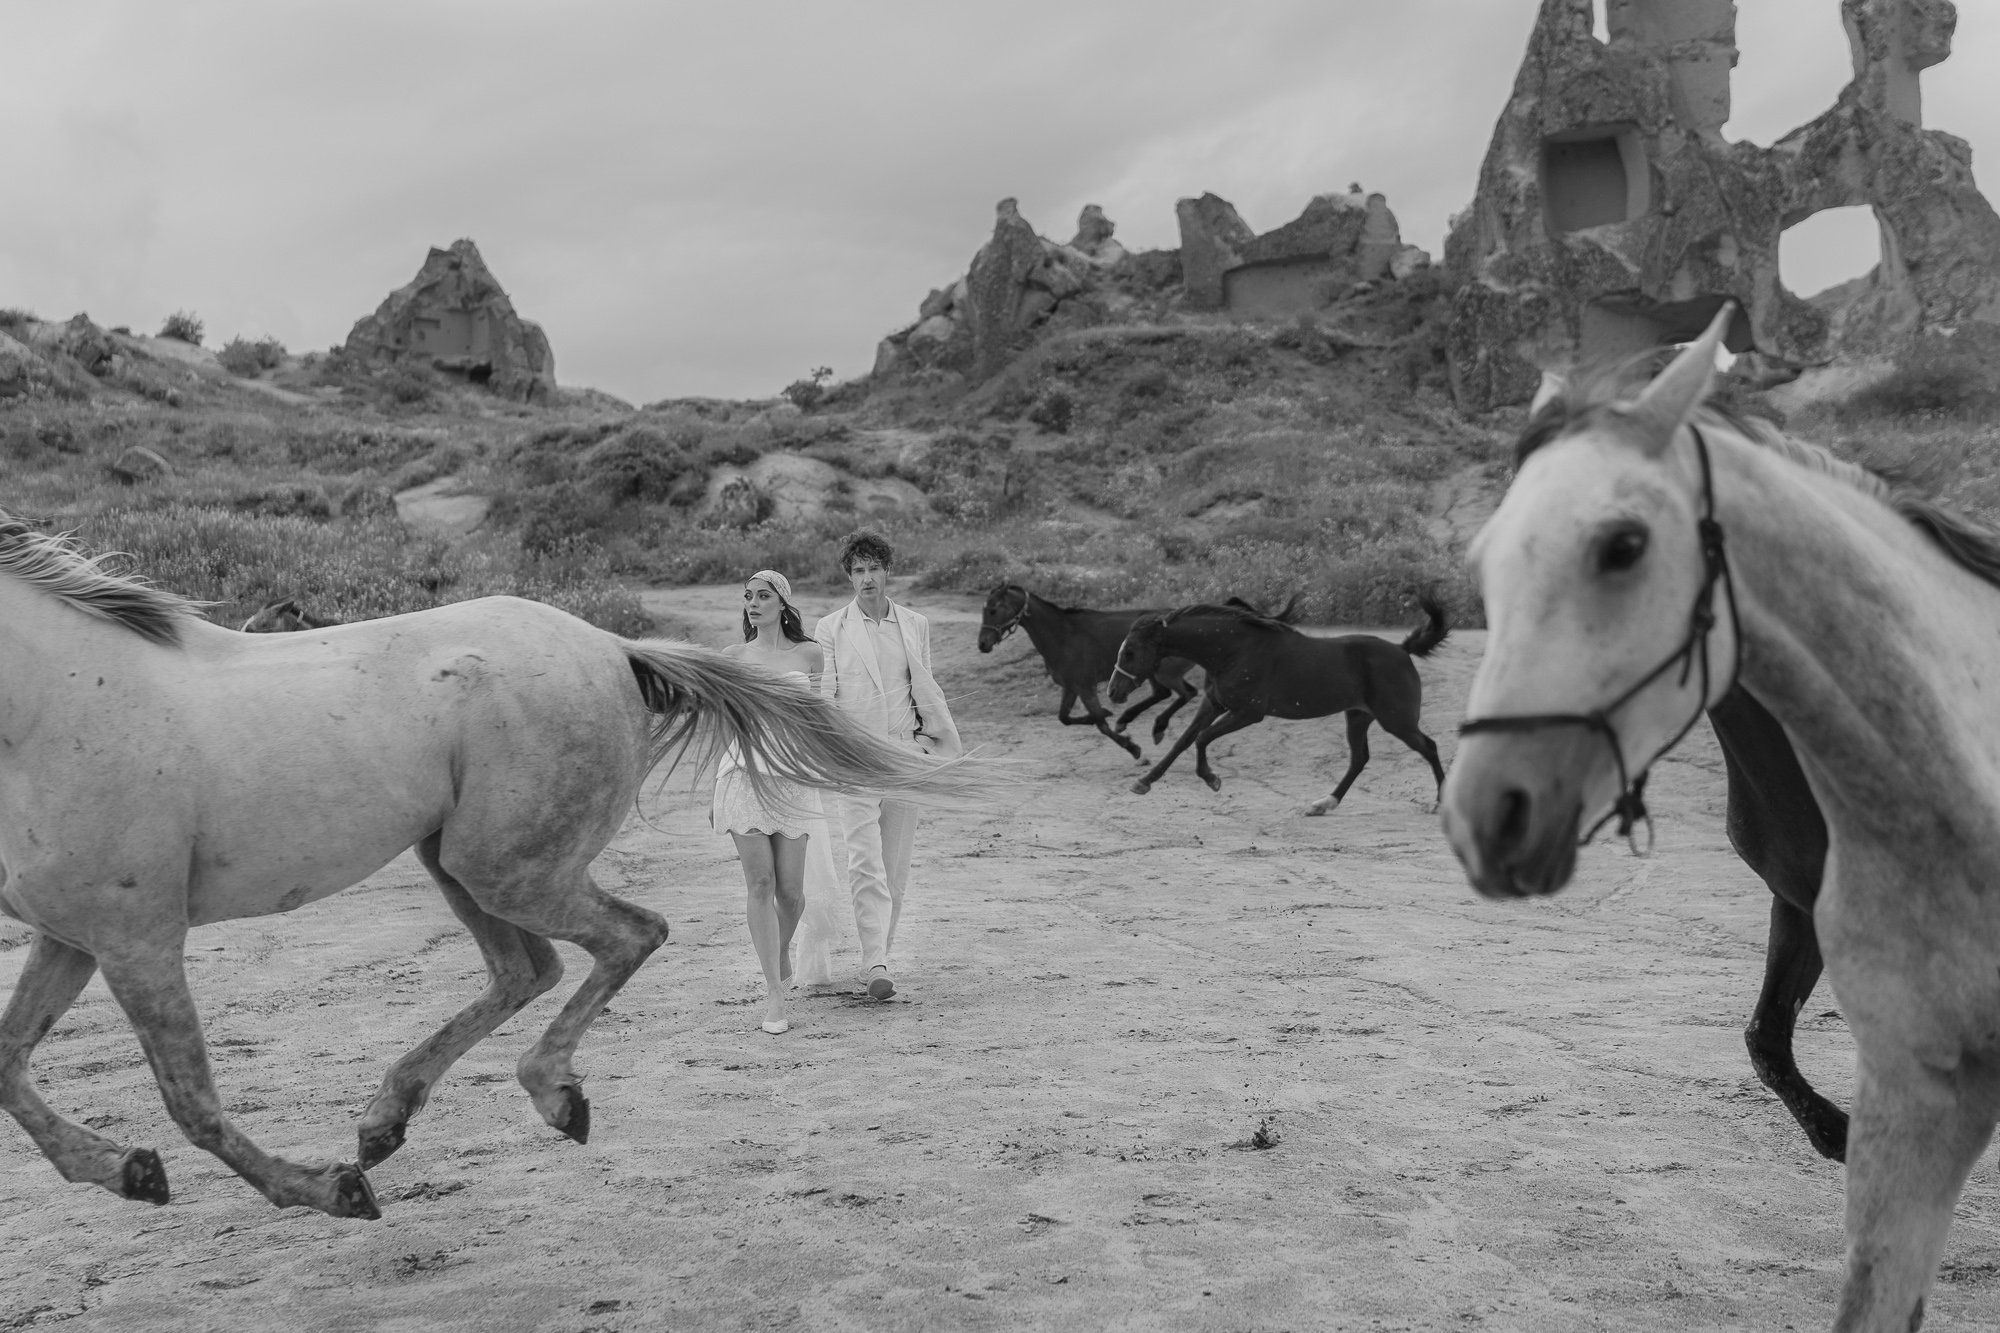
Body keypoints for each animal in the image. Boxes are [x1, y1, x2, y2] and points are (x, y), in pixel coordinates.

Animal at [0, 510, 997, 1220]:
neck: (57, 708)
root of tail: (614, 647)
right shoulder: (74, 935)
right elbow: (10, 1063)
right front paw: (125, 1168)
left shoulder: (137, 937)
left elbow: (190, 1099)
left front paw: (323, 1190)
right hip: (458, 859)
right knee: (531, 967)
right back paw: (389, 1121)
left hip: (502, 866)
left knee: (626, 936)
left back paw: (547, 1097)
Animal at [977, 583, 1204, 758]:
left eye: (993, 610)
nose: (982, 644)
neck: (1063, 636)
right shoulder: (1070, 687)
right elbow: (1065, 718)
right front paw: (1108, 717)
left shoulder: (1085, 687)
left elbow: (1100, 723)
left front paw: (1132, 748)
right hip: (1150, 673)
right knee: (1168, 693)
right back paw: (1131, 721)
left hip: (1163, 673)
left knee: (1186, 693)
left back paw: (1155, 727)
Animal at [1109, 596, 1448, 813]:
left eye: (1131, 652)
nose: (1113, 692)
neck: (1233, 650)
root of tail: (1402, 650)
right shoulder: (1213, 705)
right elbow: (1182, 741)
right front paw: (1144, 782)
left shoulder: (1248, 713)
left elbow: (1202, 739)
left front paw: (1212, 779)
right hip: (1358, 717)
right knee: (1359, 759)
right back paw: (1324, 804)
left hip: (1396, 719)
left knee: (1429, 746)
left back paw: (1440, 802)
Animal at [1442, 304, 2000, 1331]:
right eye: (1484, 566)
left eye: (1621, 545)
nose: (1488, 812)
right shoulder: (1838, 959)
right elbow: (1765, 1040)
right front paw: (1834, 1131)